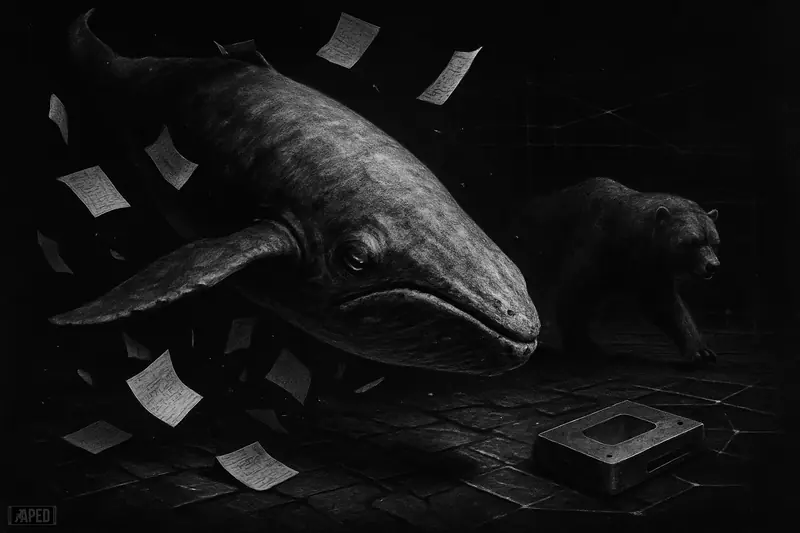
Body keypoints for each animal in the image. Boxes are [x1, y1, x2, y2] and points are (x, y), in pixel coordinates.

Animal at [509, 177, 720, 364]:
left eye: (714, 241)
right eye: (692, 242)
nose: (712, 265)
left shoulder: (649, 269)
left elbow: (664, 305)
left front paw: (701, 351)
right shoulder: (594, 248)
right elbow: (574, 296)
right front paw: (584, 345)